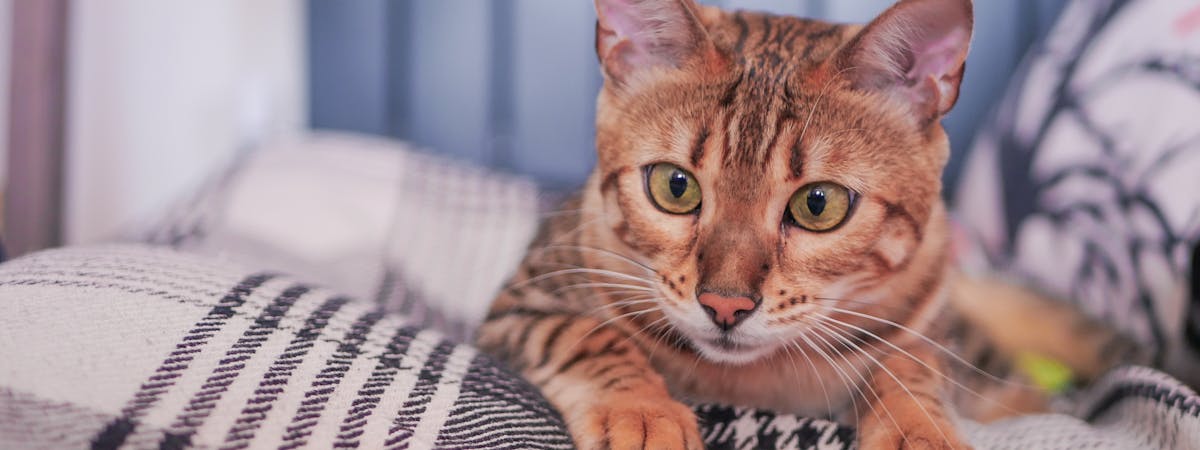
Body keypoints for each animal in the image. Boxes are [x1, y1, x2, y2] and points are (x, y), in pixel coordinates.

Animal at [475, 0, 1104, 448]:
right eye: (675, 187)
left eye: (818, 205)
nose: (725, 305)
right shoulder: (519, 303)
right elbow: (587, 335)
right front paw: (642, 413)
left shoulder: (924, 323)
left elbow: (910, 367)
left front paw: (918, 429)